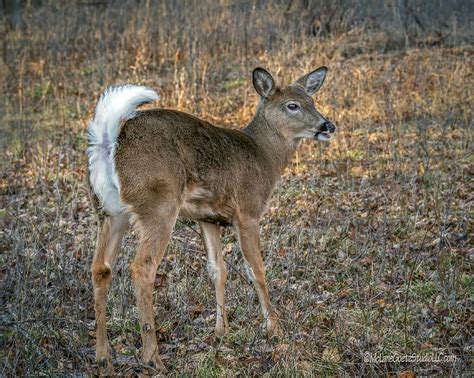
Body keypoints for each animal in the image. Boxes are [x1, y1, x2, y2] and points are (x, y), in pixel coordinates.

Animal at [86, 65, 336, 372]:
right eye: (293, 105)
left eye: (312, 101)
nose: (327, 126)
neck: (264, 156)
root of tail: (112, 143)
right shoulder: (248, 211)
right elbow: (256, 270)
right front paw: (274, 329)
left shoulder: (207, 218)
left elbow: (218, 270)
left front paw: (220, 332)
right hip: (159, 204)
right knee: (142, 267)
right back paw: (153, 357)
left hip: (108, 211)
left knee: (101, 268)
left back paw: (102, 356)